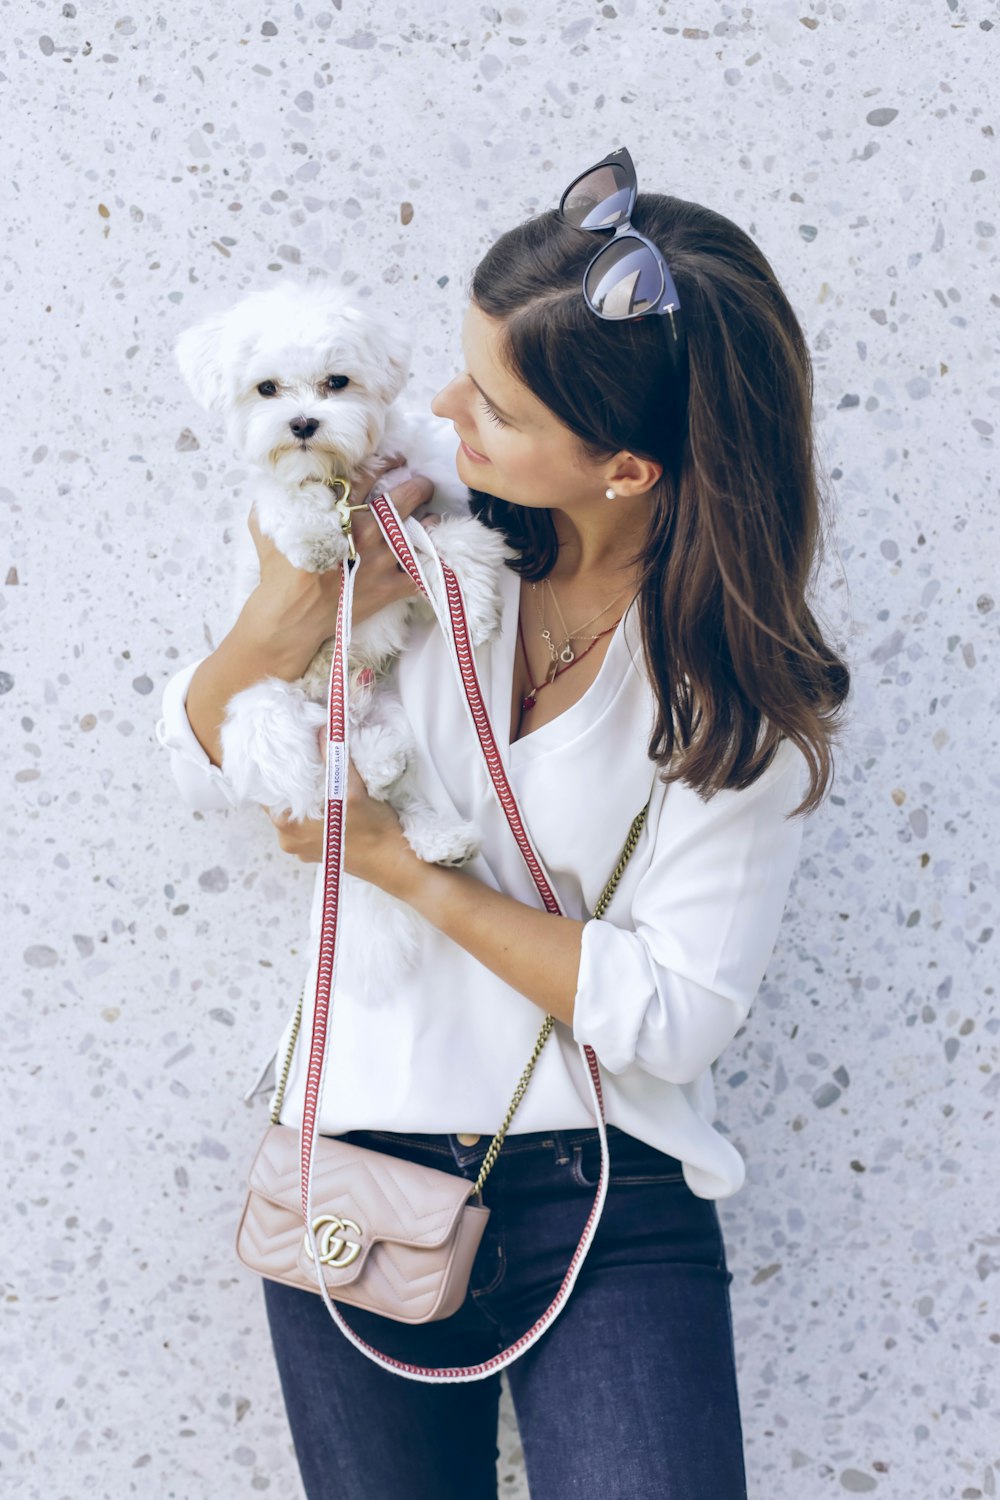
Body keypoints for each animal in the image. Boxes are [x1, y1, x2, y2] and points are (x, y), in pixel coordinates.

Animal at [175, 276, 512, 990]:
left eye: (337, 382)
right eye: (267, 388)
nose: (303, 423)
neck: (342, 477)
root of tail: (349, 712)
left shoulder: (417, 505)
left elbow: (456, 544)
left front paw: (473, 604)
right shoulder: (278, 508)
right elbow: (290, 501)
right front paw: (316, 538)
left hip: (387, 704)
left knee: (394, 789)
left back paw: (429, 822)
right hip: (263, 714)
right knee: (315, 784)